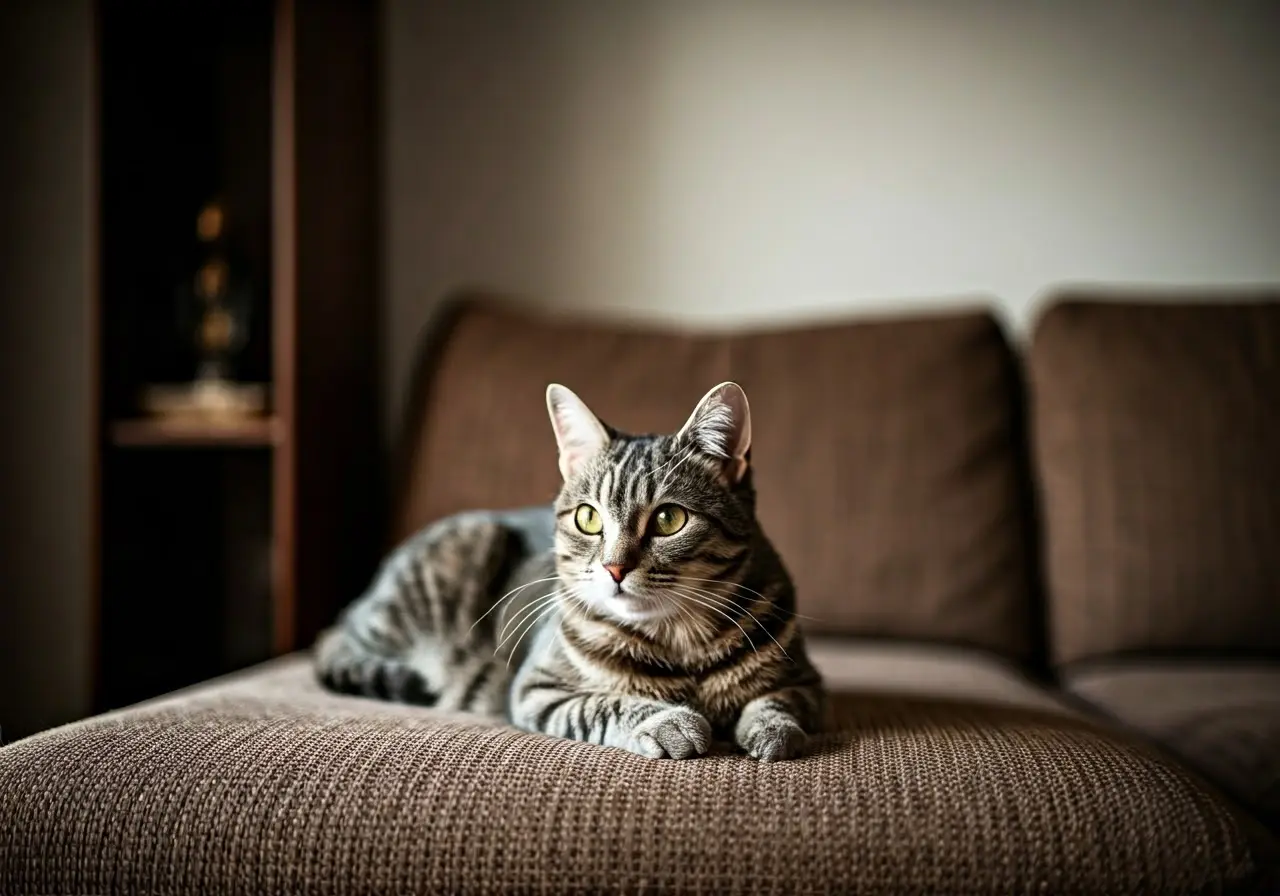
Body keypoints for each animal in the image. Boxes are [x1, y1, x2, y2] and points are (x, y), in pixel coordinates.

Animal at [314, 381, 824, 757]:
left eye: (668, 519)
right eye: (588, 518)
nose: (615, 568)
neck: (679, 641)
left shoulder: (806, 683)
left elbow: (778, 702)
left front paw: (772, 731)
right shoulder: (538, 689)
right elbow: (605, 704)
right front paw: (668, 720)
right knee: (338, 642)